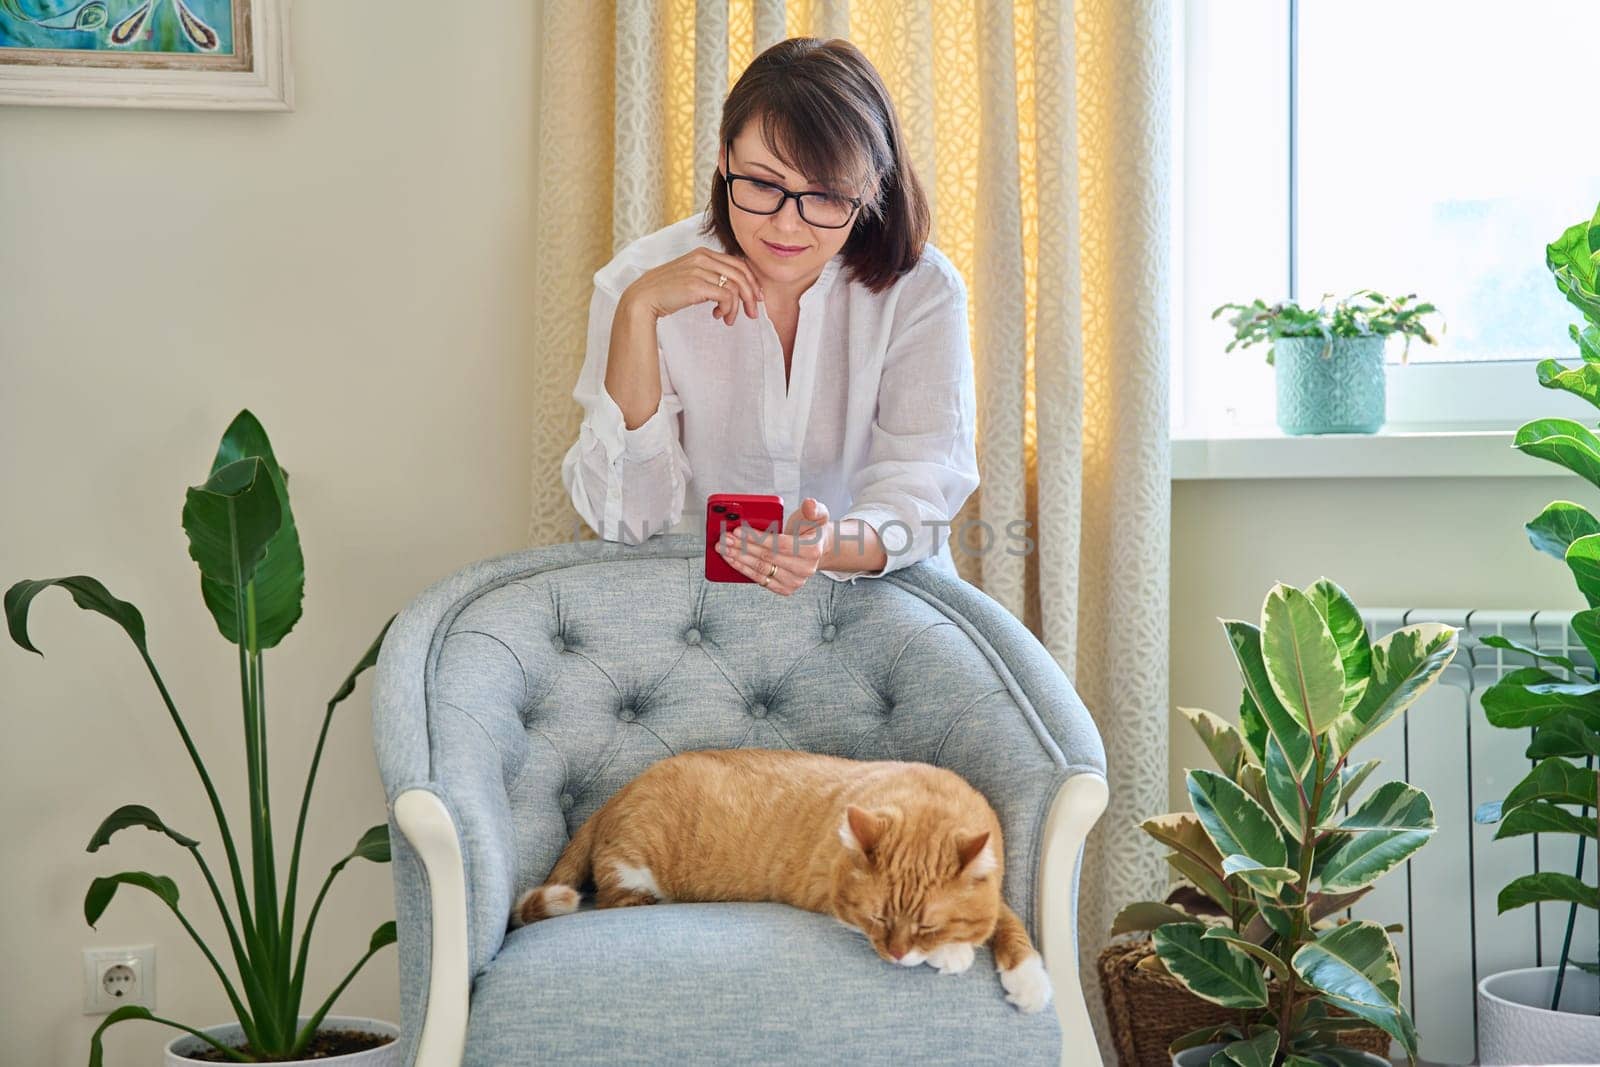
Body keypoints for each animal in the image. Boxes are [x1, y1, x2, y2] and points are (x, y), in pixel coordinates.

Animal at [502, 748, 1049, 1017]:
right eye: (877, 918)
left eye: (926, 925)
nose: (896, 955)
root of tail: (617, 795)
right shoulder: (831, 901)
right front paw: (954, 954)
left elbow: (1005, 921)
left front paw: (1026, 979)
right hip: (636, 872)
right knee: (615, 901)